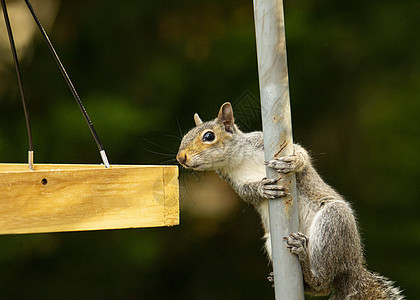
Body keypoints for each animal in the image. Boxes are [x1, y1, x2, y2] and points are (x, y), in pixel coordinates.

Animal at [176, 102, 404, 298]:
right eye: (185, 137)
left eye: (208, 136)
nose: (181, 158)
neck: (237, 160)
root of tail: (354, 265)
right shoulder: (233, 182)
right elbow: (248, 192)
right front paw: (262, 188)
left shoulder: (260, 142)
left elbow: (302, 154)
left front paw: (294, 162)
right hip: (272, 241)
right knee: (322, 287)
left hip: (333, 222)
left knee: (324, 279)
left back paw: (305, 260)